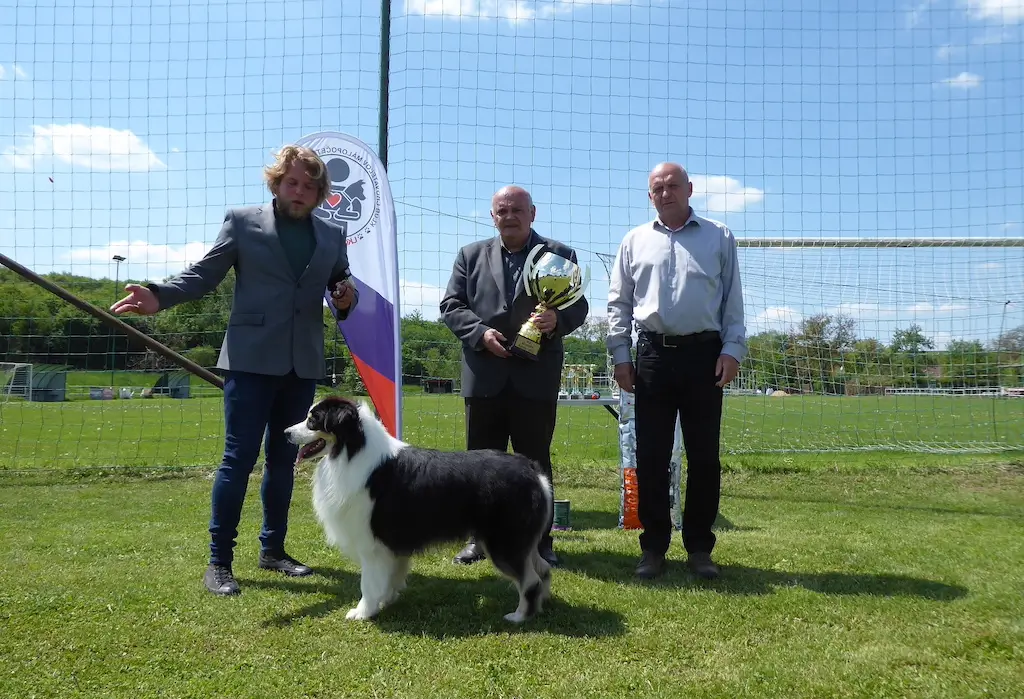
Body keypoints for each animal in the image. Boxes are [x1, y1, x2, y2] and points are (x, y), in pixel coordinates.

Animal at [284, 397, 557, 626]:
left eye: (313, 420)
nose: (285, 433)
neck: (352, 450)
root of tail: (533, 471)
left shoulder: (371, 544)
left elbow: (369, 582)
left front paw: (363, 612)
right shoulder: (391, 544)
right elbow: (390, 576)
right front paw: (385, 601)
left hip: (504, 543)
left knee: (530, 580)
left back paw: (519, 616)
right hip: (522, 542)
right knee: (543, 570)